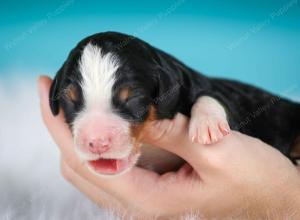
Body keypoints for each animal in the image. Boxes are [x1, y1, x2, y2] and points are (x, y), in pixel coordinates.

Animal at [50, 31, 300, 176]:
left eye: (132, 98)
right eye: (70, 99)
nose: (96, 143)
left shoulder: (205, 90)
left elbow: (210, 96)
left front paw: (208, 126)